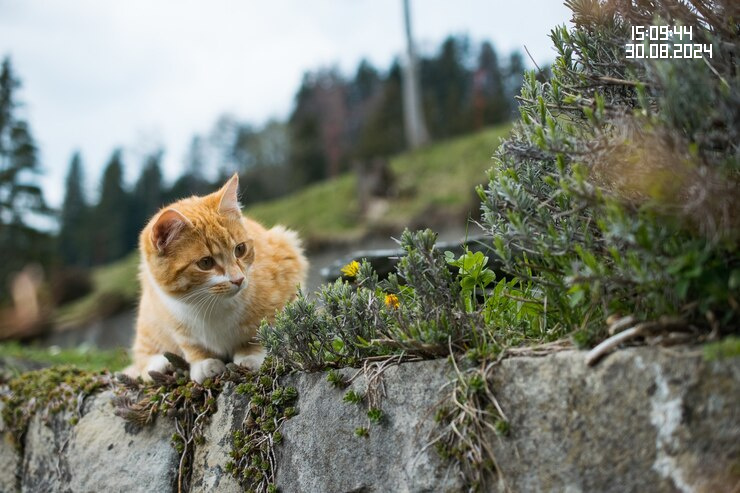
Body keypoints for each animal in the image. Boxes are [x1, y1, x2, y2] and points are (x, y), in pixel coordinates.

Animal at [130, 174, 306, 384]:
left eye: (240, 249)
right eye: (206, 263)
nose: (238, 280)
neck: (210, 303)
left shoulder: (286, 272)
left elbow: (263, 327)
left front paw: (251, 354)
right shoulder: (171, 315)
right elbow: (190, 343)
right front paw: (204, 362)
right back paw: (160, 364)